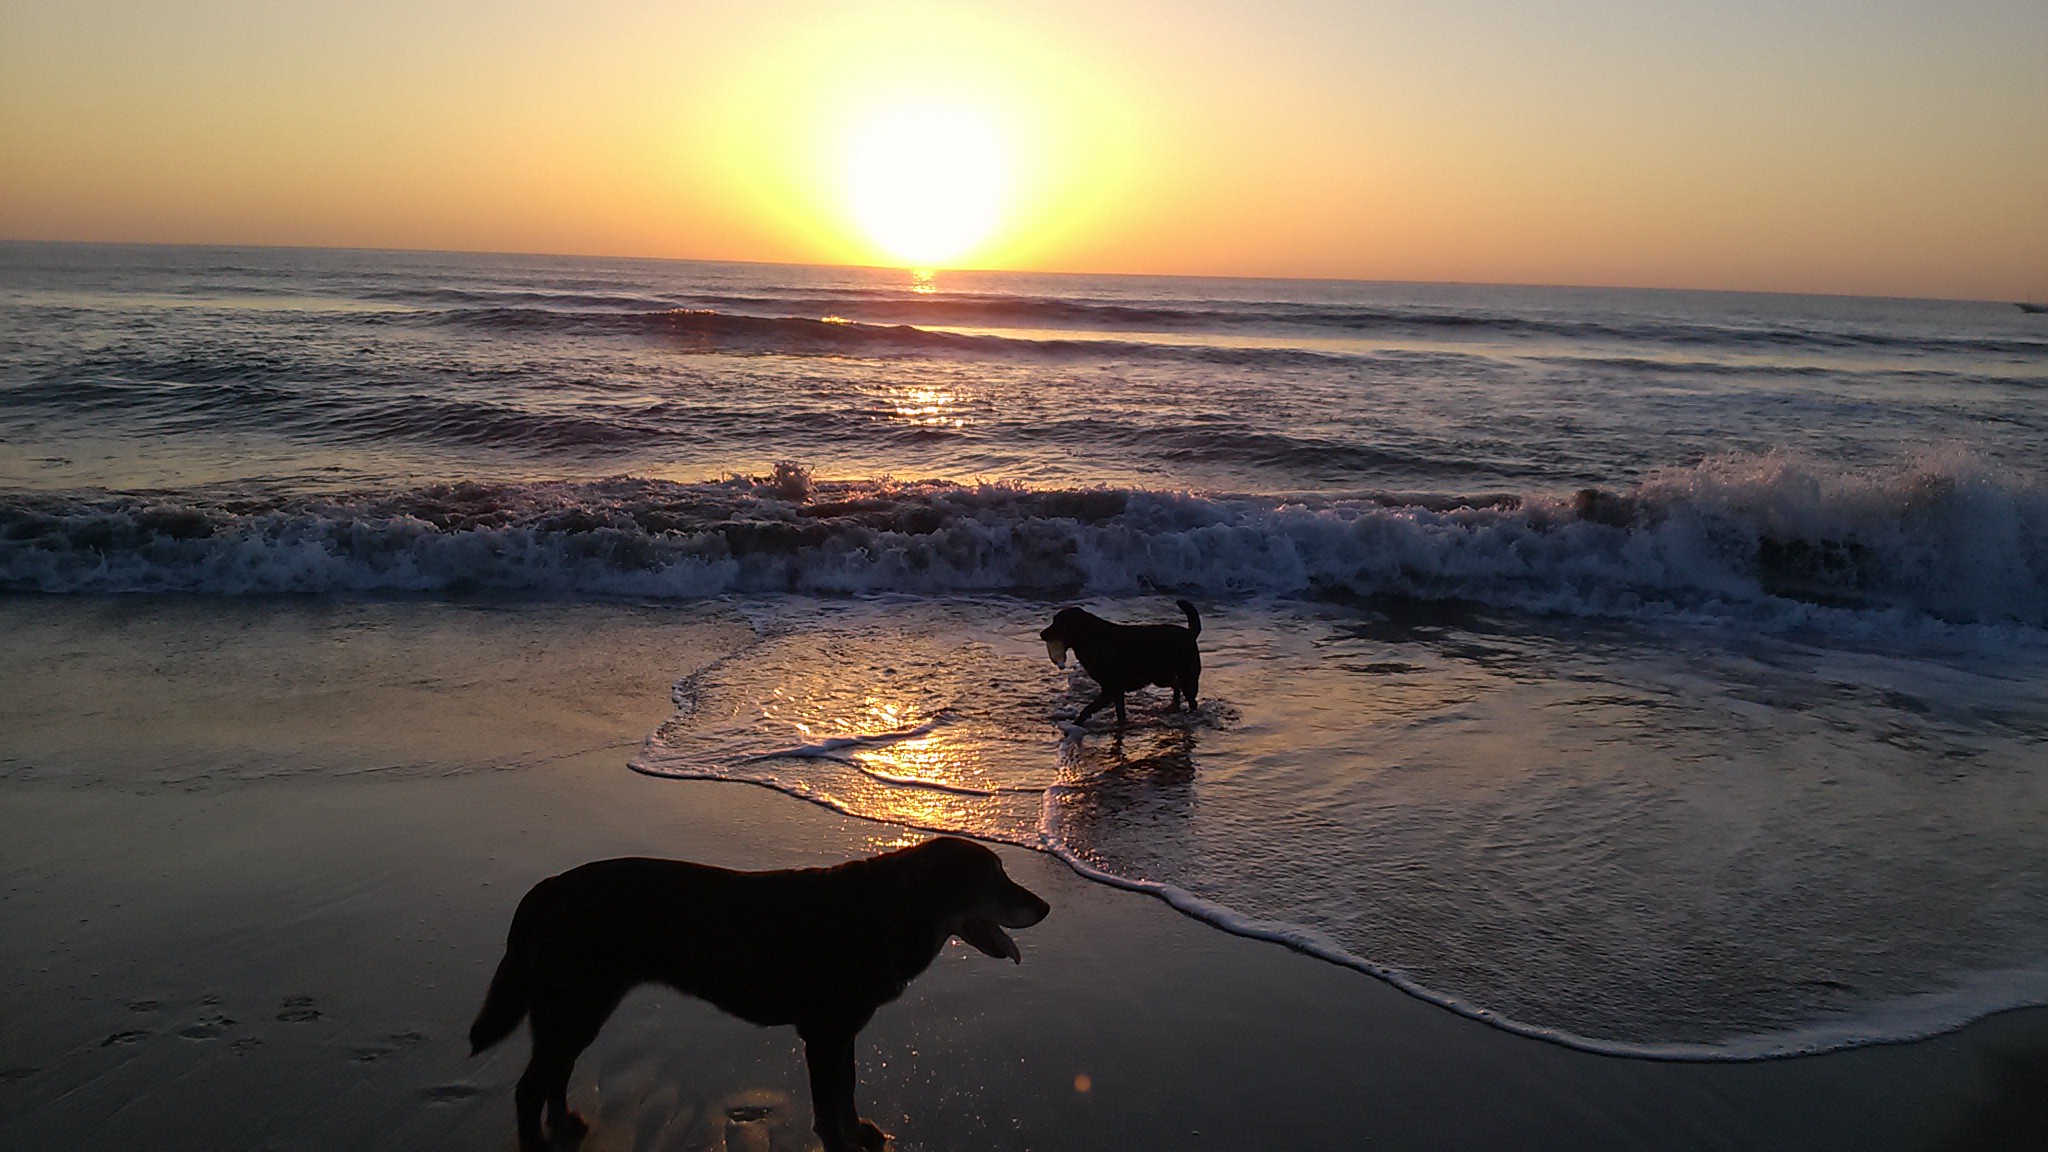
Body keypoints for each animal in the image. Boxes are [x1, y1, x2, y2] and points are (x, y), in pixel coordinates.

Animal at [469, 836, 1050, 1151]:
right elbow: (828, 1100)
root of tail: (545, 890)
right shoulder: (824, 1033)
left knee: (556, 1070)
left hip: (577, 1006)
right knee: (530, 1084)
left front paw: (856, 1129)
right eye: (993, 878)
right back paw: (536, 1141)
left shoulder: (843, 1030)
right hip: (575, 1001)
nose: (1043, 907)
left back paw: (564, 1122)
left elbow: (847, 1087)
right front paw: (838, 1141)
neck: (891, 912)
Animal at [1039, 599, 1202, 725]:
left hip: (1186, 677)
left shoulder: (1111, 688)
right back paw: (1175, 705)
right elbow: (1120, 712)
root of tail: (1189, 633)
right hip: (1160, 677)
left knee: (1190, 698)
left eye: (1057, 623)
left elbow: (1088, 709)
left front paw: (1075, 723)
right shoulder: (1116, 691)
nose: (1041, 634)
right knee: (1176, 685)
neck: (1091, 638)